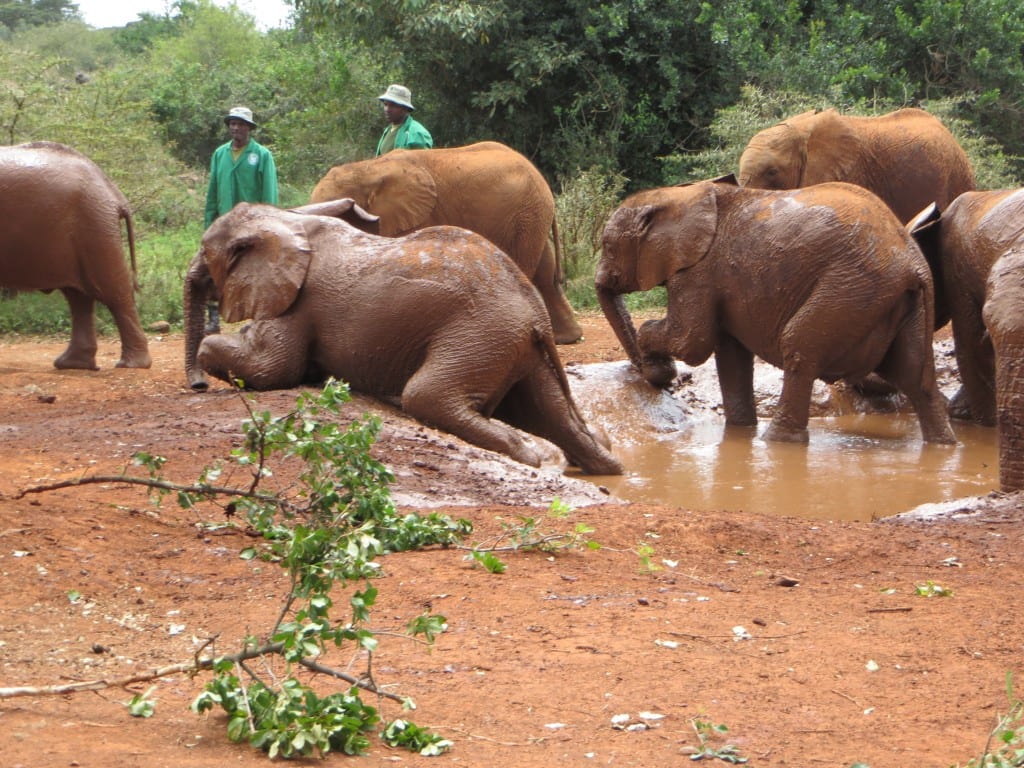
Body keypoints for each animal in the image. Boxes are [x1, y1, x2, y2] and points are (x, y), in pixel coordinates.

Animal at [0, 141, 150, 370]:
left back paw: (130, 365)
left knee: (113, 291)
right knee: (79, 297)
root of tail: (114, 192)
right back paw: (73, 364)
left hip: (94, 225)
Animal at [182, 200, 623, 476]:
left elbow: (273, 369)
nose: (198, 387)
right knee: (553, 414)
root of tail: (535, 314)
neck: (285, 220)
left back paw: (524, 454)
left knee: (425, 395)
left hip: (481, 332)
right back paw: (600, 461)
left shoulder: (297, 303)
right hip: (516, 346)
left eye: (205, 252)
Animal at [309, 141, 582, 344]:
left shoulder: (417, 216)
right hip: (531, 216)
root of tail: (539, 176)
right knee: (546, 273)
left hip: (525, 215)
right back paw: (566, 338)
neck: (367, 169)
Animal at [596, 178, 956, 445]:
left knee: (799, 347)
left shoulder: (698, 272)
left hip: (853, 287)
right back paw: (943, 444)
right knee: (914, 374)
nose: (655, 377)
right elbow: (729, 355)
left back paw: (778, 440)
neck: (676, 196)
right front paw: (739, 431)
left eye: (607, 246)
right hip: (903, 300)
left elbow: (691, 343)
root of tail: (912, 263)